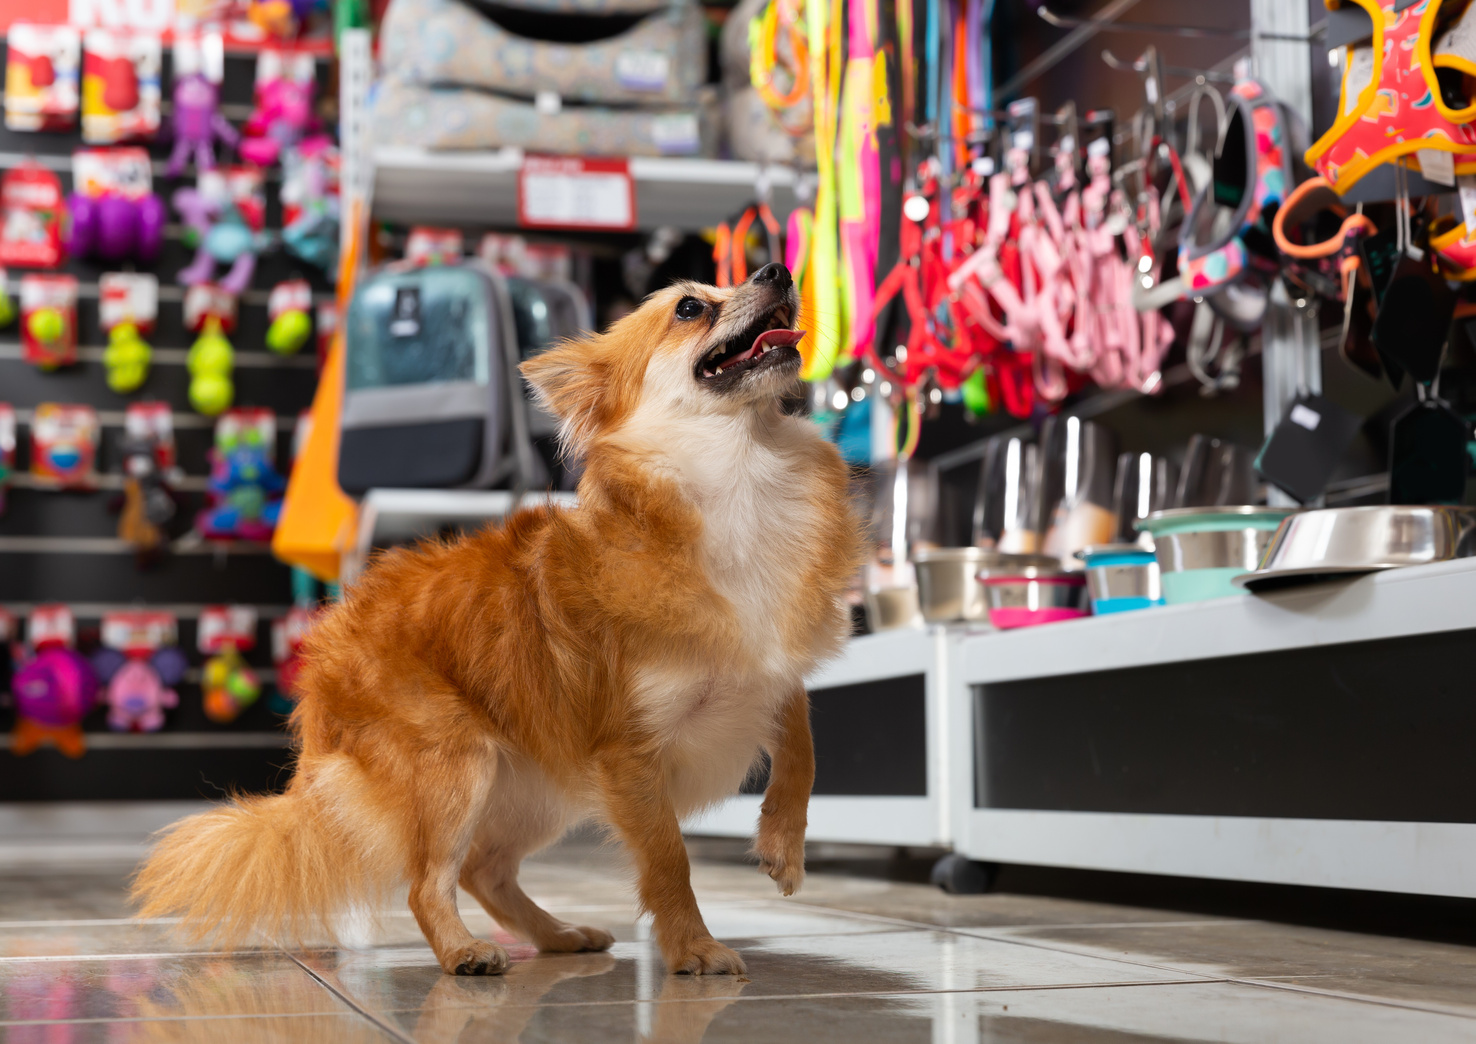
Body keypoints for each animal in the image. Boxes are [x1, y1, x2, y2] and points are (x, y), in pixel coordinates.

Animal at [132, 261, 861, 980]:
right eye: (689, 308)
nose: (778, 268)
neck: (741, 472)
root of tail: (325, 657)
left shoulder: (767, 669)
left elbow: (803, 743)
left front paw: (782, 845)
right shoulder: (629, 753)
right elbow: (668, 859)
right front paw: (694, 947)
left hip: (540, 789)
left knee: (484, 870)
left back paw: (558, 935)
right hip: (457, 763)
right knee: (429, 882)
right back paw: (464, 951)